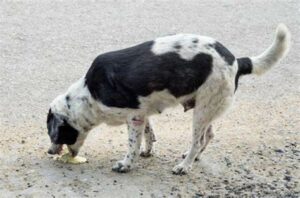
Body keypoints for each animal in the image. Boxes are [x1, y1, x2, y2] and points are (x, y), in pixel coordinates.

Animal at [47, 24, 290, 174]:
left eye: (53, 133)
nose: (49, 152)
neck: (88, 95)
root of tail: (236, 61)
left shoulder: (133, 117)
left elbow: (132, 145)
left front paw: (126, 165)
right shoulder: (141, 114)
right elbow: (149, 135)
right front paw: (147, 152)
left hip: (202, 111)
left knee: (198, 140)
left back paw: (184, 166)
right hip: (207, 108)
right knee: (209, 135)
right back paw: (194, 158)